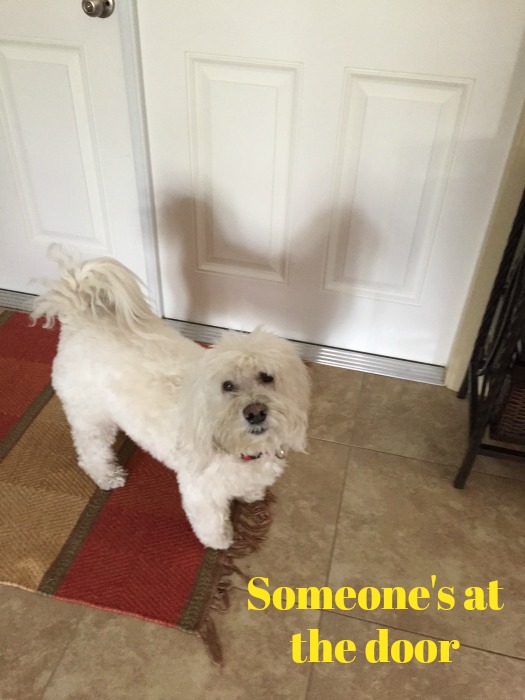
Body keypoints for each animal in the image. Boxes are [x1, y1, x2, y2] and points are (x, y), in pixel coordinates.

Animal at [30, 254, 310, 548]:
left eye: (266, 377)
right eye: (227, 386)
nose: (256, 412)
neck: (239, 447)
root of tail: (81, 315)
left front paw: (251, 495)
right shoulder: (201, 493)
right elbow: (211, 523)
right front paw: (220, 541)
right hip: (90, 416)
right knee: (90, 450)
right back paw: (106, 475)